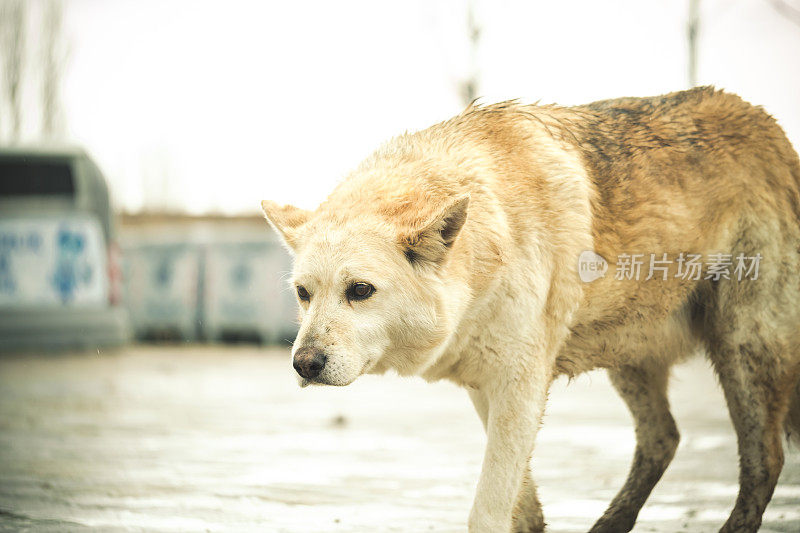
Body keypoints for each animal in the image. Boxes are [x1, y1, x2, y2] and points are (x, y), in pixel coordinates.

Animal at [262, 85, 800, 528]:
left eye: (359, 290)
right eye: (303, 294)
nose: (304, 364)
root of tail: (773, 130)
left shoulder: (519, 387)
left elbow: (489, 508)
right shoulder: (488, 387)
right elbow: (522, 507)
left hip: (743, 348)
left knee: (764, 461)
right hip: (631, 357)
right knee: (663, 440)